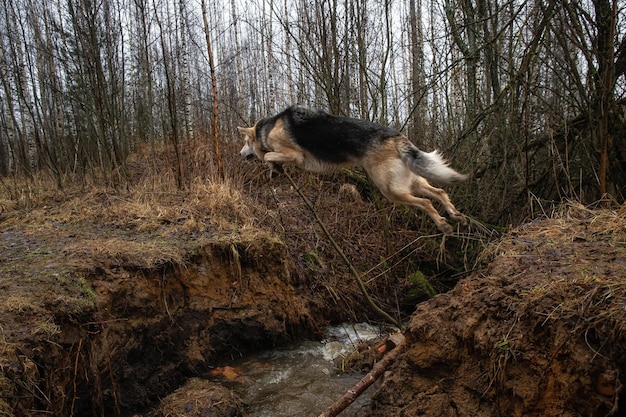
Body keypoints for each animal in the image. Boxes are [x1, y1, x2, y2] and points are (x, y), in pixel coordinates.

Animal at [236, 105, 466, 234]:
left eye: (245, 142)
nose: (239, 154)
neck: (268, 128)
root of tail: (397, 137)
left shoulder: (295, 155)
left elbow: (268, 156)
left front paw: (273, 166)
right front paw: (276, 169)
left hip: (391, 190)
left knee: (426, 202)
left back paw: (443, 225)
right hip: (410, 181)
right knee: (440, 192)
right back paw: (455, 215)